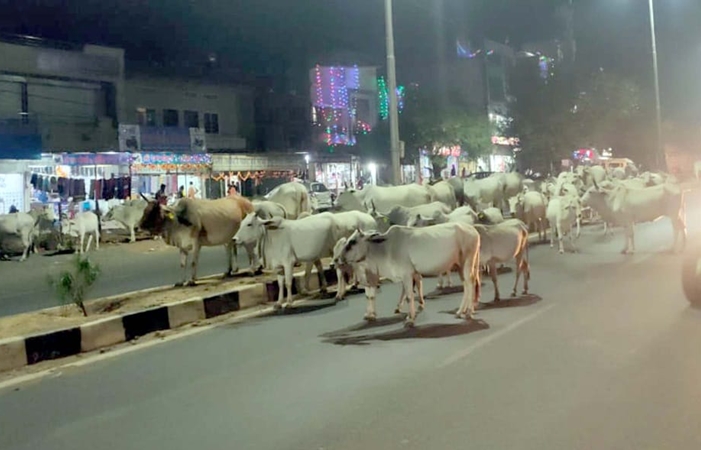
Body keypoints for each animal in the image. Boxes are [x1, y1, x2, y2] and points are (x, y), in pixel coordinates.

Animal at [334, 223, 482, 326]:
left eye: (352, 242)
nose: (337, 259)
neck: (384, 248)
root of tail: (473, 230)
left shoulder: (407, 275)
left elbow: (410, 296)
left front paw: (410, 319)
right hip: (460, 265)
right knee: (467, 285)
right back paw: (461, 311)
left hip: (467, 262)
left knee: (470, 283)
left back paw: (468, 312)